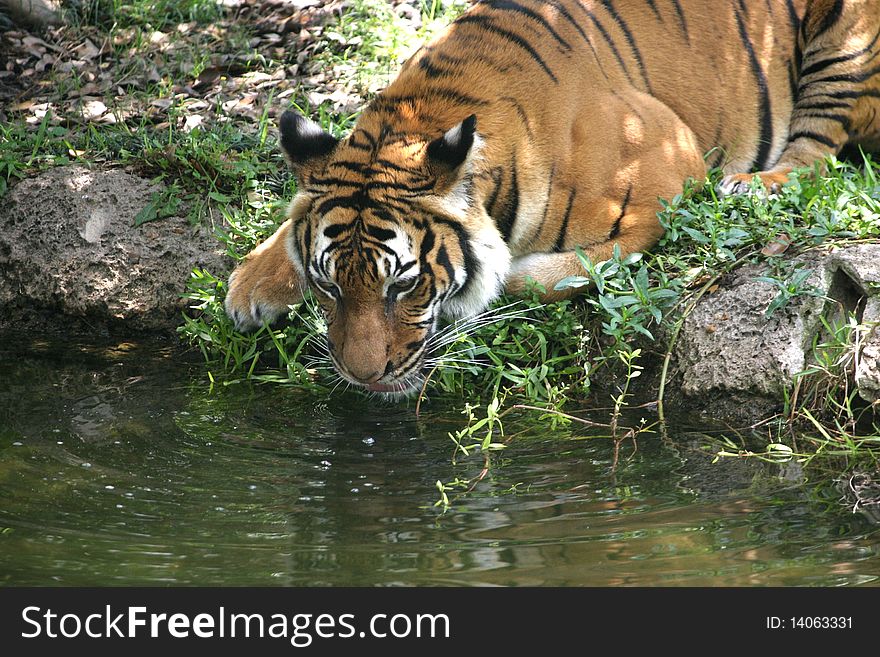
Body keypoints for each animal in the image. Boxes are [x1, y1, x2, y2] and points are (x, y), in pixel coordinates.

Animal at [222, 0, 880, 394]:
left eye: (403, 285)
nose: (363, 379)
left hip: (845, 45)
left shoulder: (666, 177)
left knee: (818, 151)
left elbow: (546, 273)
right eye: (329, 285)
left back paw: (752, 183)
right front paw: (249, 287)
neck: (420, 113)